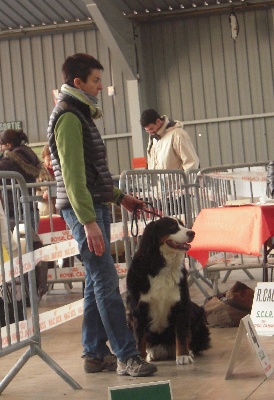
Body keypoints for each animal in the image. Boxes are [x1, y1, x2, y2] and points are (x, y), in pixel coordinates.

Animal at [126, 217, 210, 364]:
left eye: (182, 225)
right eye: (171, 227)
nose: (192, 233)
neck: (161, 265)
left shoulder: (181, 304)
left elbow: (181, 334)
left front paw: (183, 355)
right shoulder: (138, 309)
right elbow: (139, 339)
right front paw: (140, 358)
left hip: (196, 312)